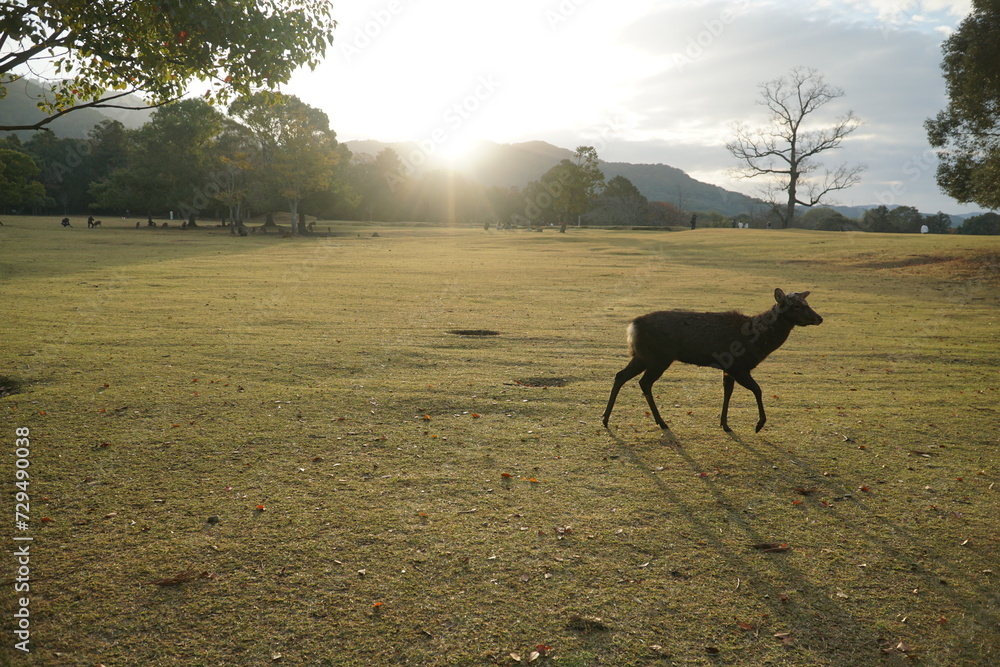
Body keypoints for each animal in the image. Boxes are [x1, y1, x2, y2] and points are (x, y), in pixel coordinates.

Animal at [600, 290, 820, 436]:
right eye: (797, 306)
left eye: (807, 303)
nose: (819, 318)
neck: (759, 342)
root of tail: (632, 326)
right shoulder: (739, 366)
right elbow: (757, 390)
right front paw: (759, 425)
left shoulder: (728, 369)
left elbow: (727, 393)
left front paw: (724, 424)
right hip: (658, 357)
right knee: (644, 382)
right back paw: (661, 422)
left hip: (643, 356)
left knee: (621, 375)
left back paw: (605, 418)